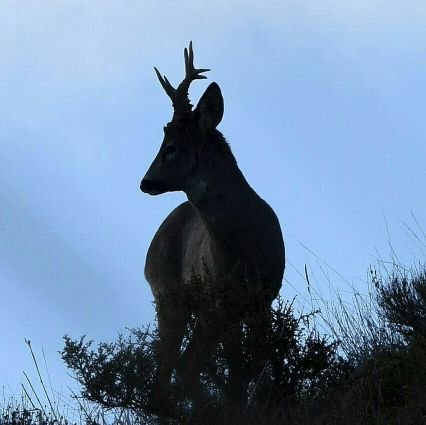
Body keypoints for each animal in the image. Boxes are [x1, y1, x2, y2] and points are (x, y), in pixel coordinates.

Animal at [141, 42, 286, 408]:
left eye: (171, 148)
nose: (145, 182)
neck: (243, 245)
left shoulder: (264, 296)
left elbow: (257, 363)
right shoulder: (222, 298)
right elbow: (236, 370)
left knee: (180, 364)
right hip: (169, 296)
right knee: (170, 364)